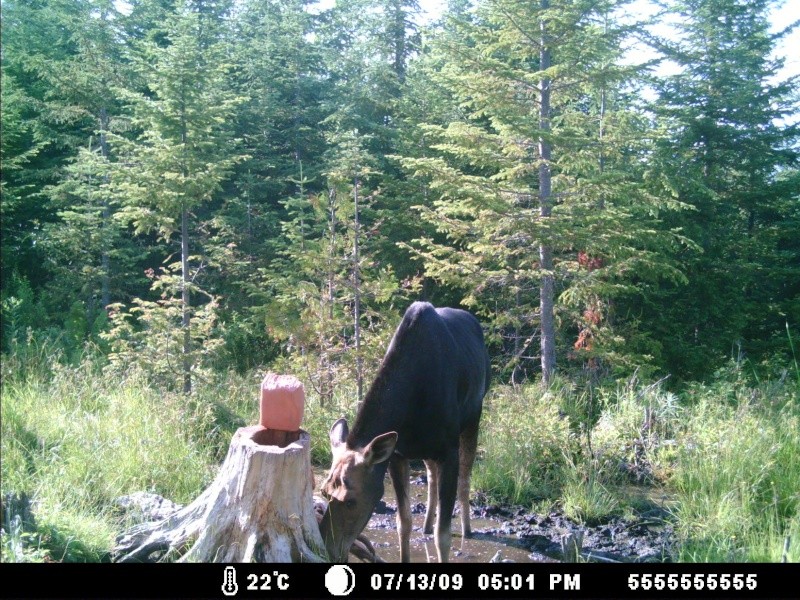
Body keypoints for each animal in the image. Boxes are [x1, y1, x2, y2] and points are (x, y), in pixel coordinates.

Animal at [318, 304, 488, 564]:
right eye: (324, 492)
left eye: (350, 500)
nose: (328, 550)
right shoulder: (398, 454)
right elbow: (403, 522)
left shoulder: (448, 451)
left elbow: (443, 534)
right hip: (426, 448)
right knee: (431, 474)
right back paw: (426, 523)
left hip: (473, 417)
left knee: (466, 475)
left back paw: (467, 529)